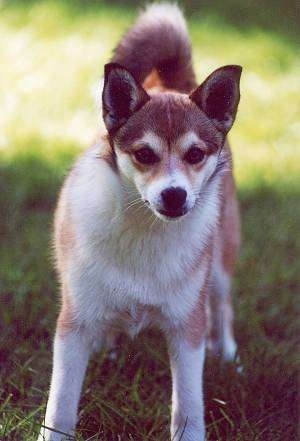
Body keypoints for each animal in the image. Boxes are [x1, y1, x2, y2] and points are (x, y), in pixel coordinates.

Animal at [38, 4, 243, 440]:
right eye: (144, 154)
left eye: (195, 154)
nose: (174, 195)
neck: (145, 229)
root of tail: (173, 84)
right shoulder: (73, 325)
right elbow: (60, 406)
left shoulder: (186, 328)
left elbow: (188, 407)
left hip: (220, 260)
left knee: (222, 305)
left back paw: (228, 355)